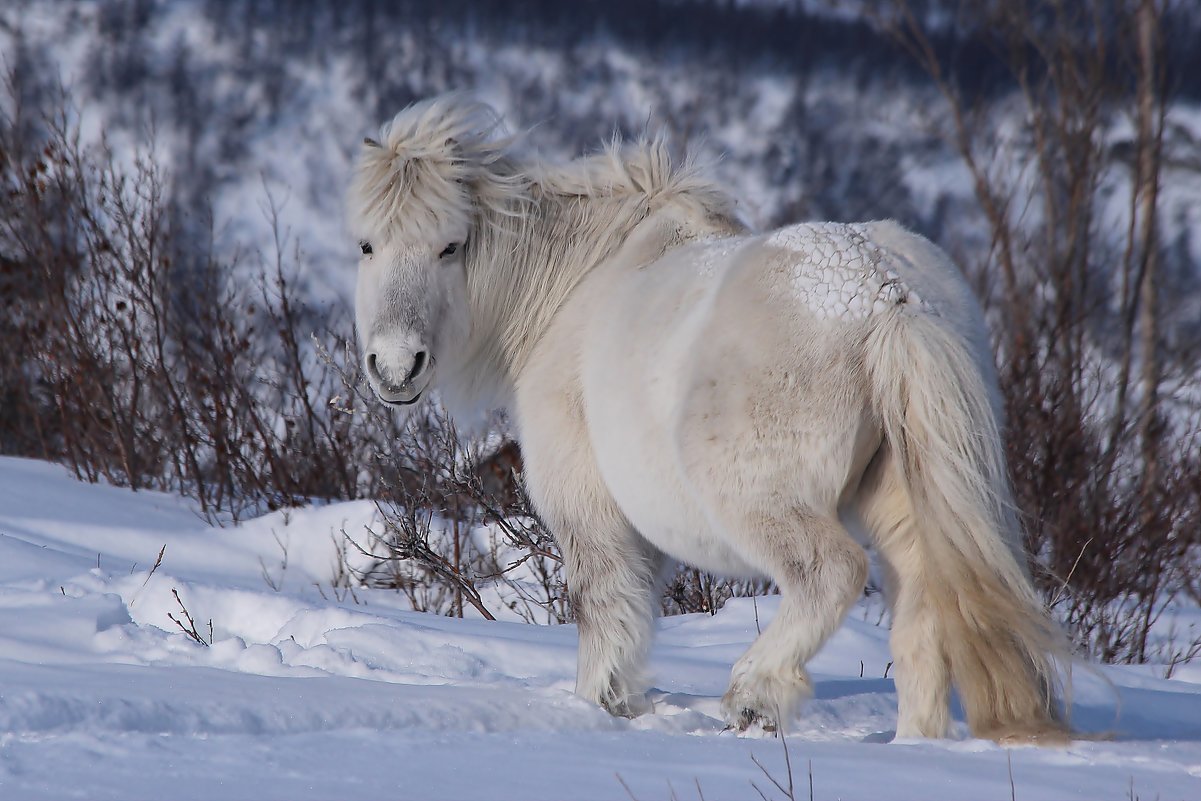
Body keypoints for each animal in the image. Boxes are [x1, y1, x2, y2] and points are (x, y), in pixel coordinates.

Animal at [348, 95, 1071, 744]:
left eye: (450, 247)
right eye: (366, 245)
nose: (396, 367)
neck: (578, 281)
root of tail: (888, 296)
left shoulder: (586, 504)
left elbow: (603, 604)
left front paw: (600, 704)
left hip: (761, 495)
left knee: (830, 572)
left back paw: (755, 692)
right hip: (901, 486)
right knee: (922, 606)